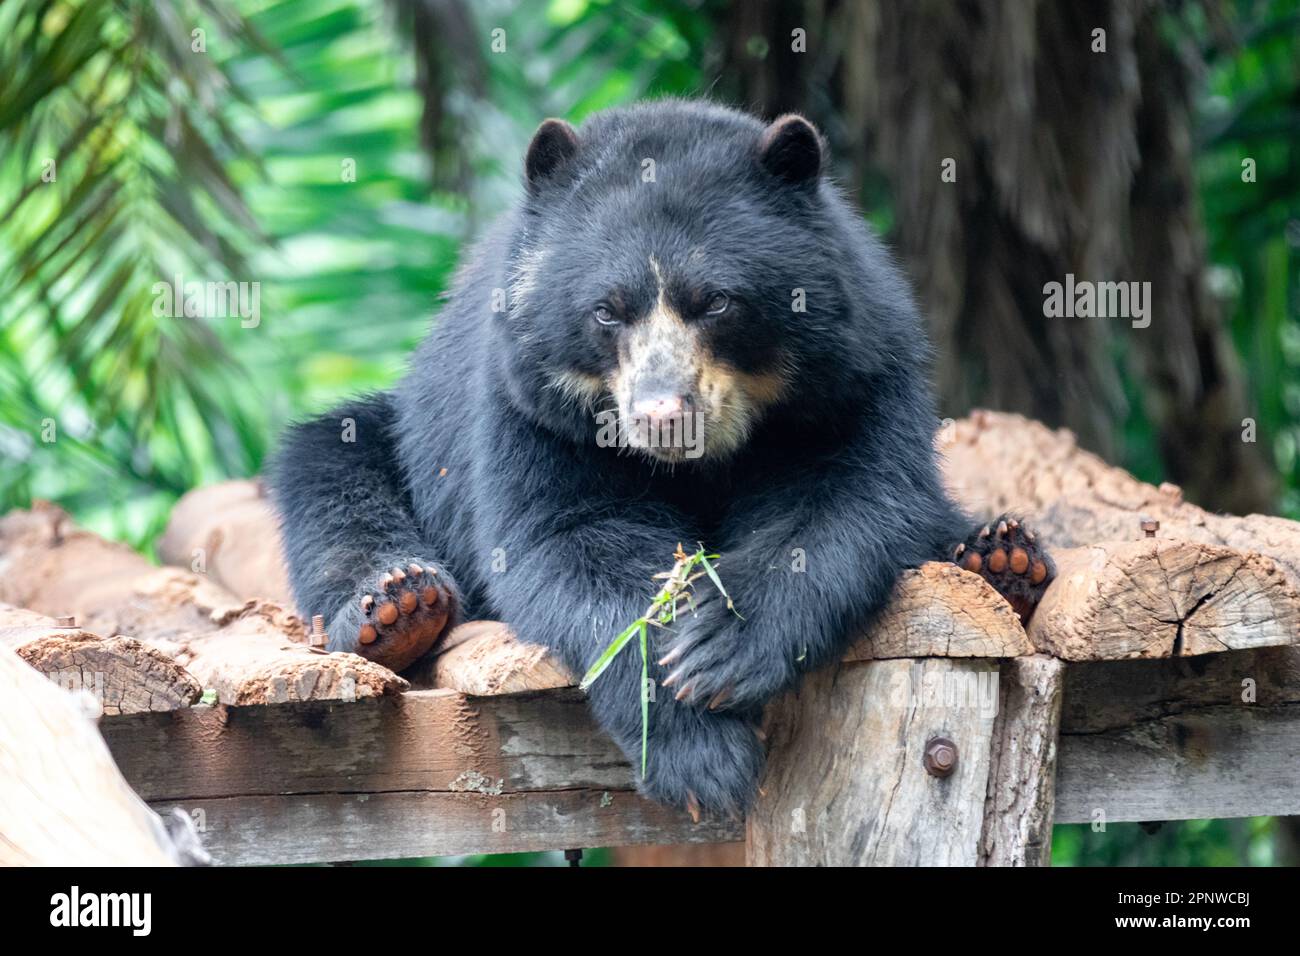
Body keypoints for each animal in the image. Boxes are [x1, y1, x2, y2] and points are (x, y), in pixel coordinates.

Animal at [269, 100, 1054, 818]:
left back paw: (1001, 559)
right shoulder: (530, 408)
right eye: (606, 310)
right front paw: (701, 753)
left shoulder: (856, 379)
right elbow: (569, 537)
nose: (660, 415)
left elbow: (848, 498)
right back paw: (400, 606)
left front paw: (720, 648)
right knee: (330, 476)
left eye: (716, 303)